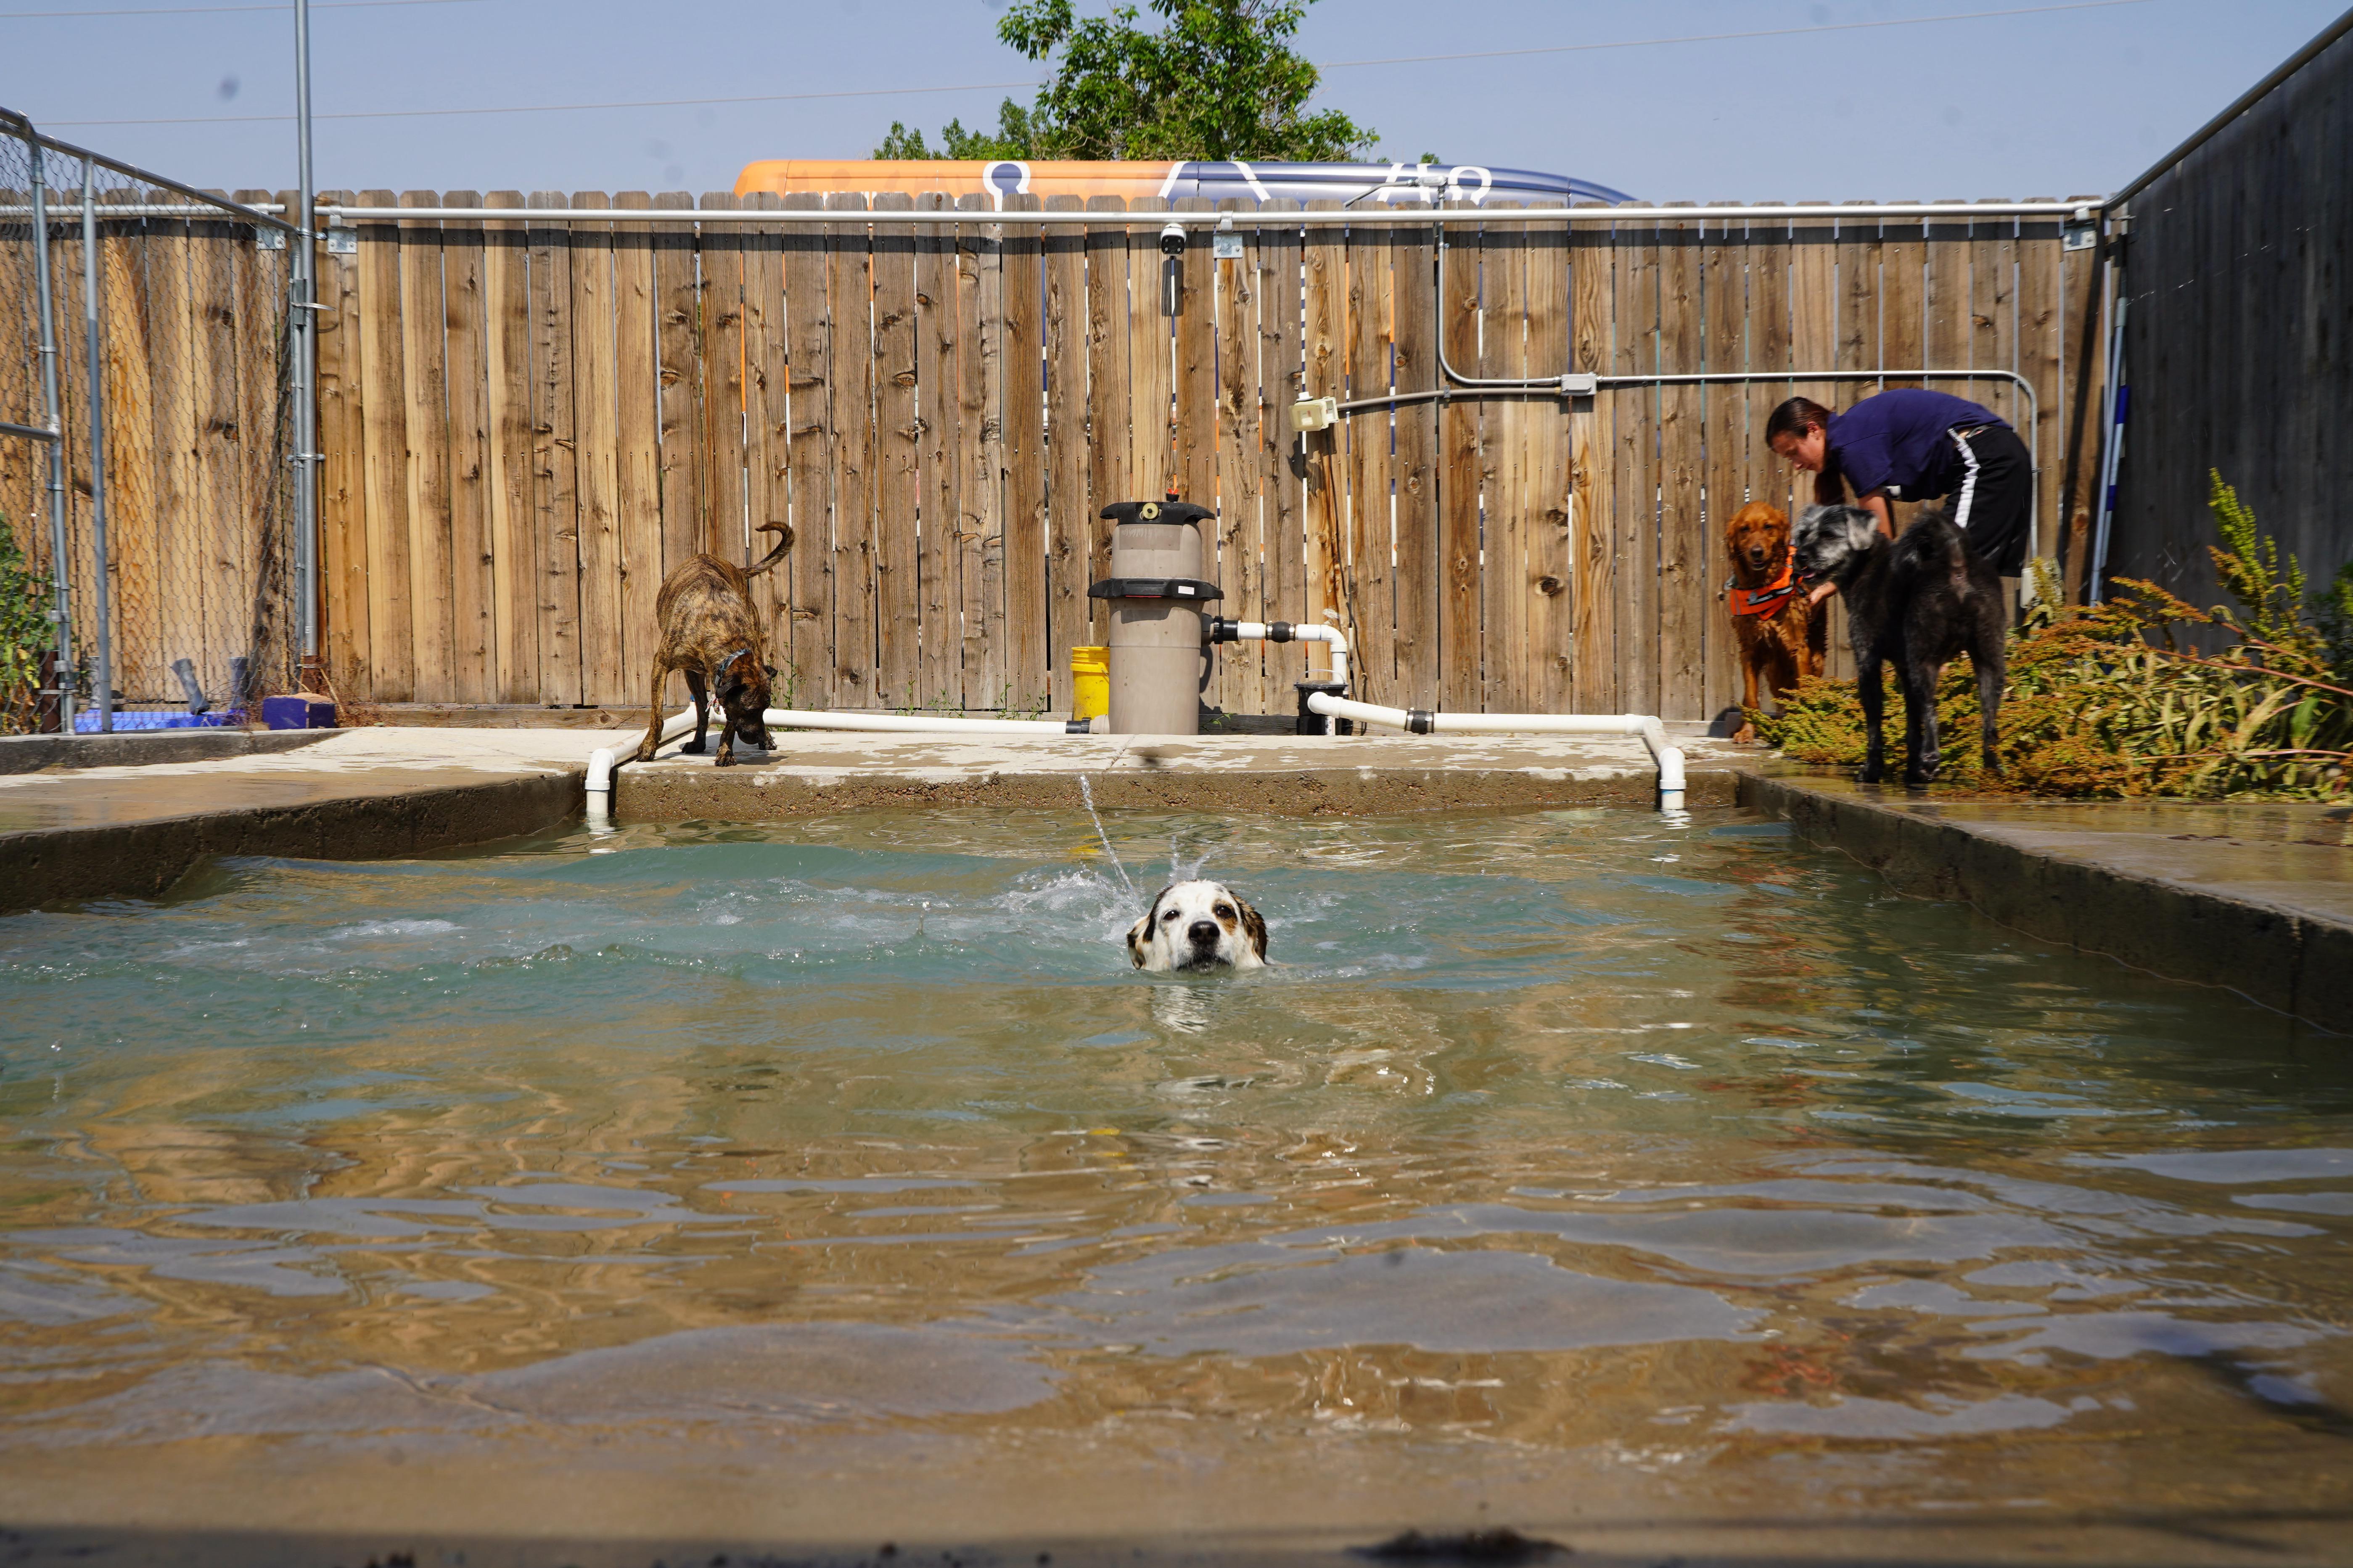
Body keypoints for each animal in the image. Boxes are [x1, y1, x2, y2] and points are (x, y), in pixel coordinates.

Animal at [635, 524, 791, 771]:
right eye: (750, 710)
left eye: (766, 708)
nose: (757, 736)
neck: (725, 632)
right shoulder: (661, 665)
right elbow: (657, 716)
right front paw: (649, 747)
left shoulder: (728, 690)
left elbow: (729, 724)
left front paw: (726, 751)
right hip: (692, 674)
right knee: (700, 708)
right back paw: (699, 742)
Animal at [1798, 503, 2004, 789]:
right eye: (1803, 534)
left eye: (1829, 535)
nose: (1800, 556)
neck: (1866, 566)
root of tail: (1956, 559)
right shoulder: (1904, 670)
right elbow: (1912, 724)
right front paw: (1912, 772)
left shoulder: (1868, 662)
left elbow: (1875, 724)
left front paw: (1871, 772)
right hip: (1989, 659)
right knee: (1989, 720)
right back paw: (1992, 770)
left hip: (1924, 660)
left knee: (1931, 711)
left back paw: (1931, 759)